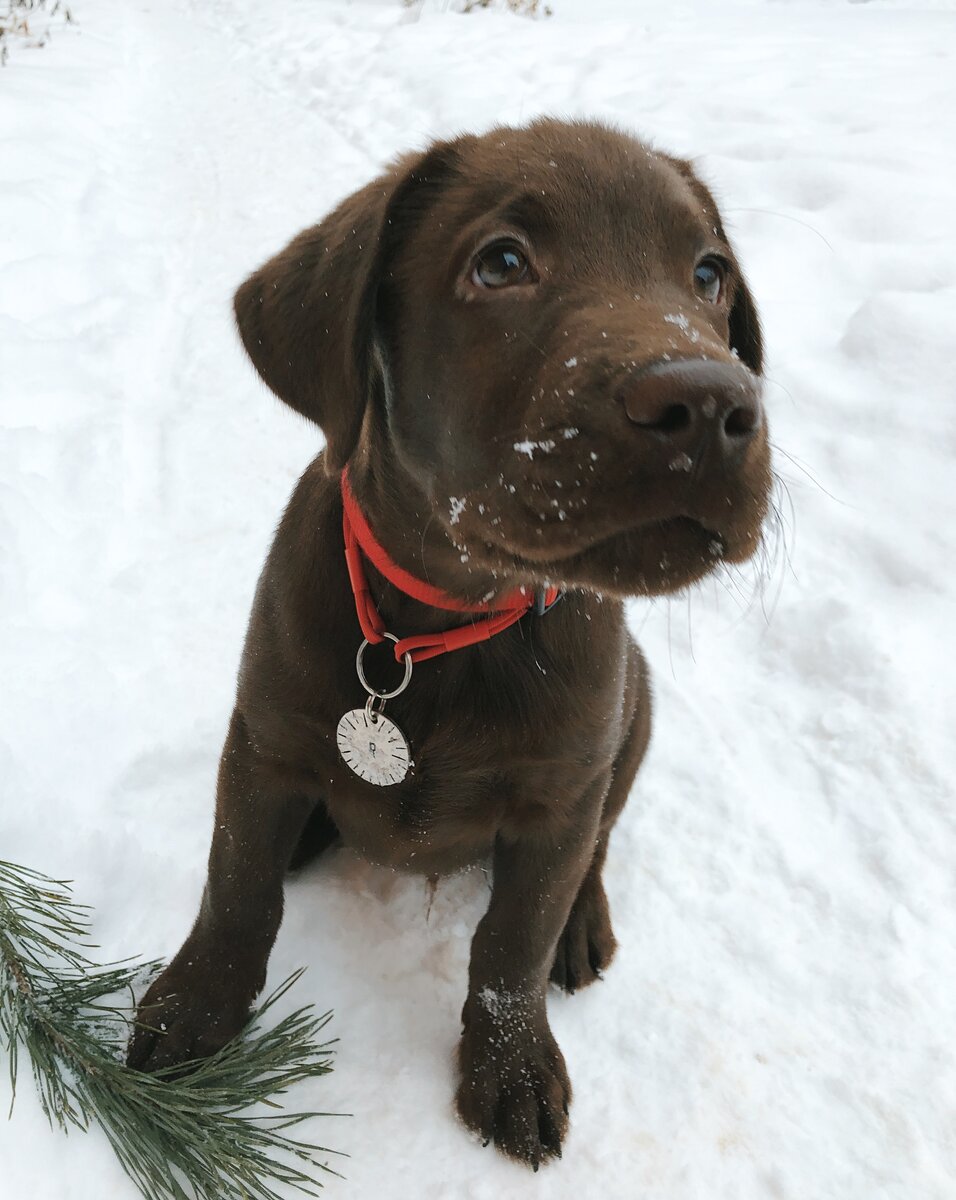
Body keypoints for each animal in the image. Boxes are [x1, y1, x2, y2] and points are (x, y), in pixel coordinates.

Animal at [124, 117, 767, 1166]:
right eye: (501, 263)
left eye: (709, 275)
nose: (711, 406)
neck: (445, 624)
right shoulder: (261, 741)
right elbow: (238, 884)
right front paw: (194, 1012)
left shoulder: (557, 796)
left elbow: (513, 941)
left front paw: (510, 1068)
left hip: (633, 721)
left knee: (598, 844)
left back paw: (583, 924)